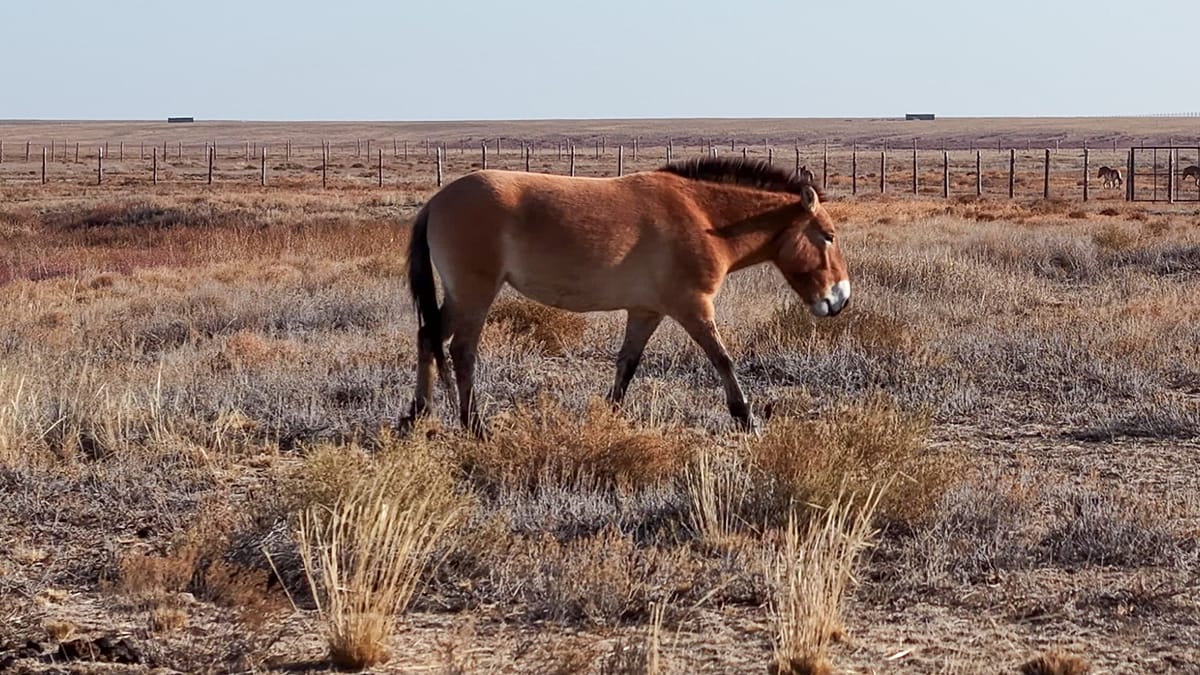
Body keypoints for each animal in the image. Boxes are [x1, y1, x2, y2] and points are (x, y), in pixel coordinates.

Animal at [404, 157, 851, 436]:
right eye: (828, 236)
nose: (841, 299)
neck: (703, 217)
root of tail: (435, 202)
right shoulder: (693, 307)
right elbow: (723, 359)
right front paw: (746, 417)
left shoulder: (645, 311)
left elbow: (627, 366)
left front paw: (610, 417)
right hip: (474, 294)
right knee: (461, 351)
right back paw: (474, 426)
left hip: (458, 297)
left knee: (428, 337)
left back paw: (416, 416)